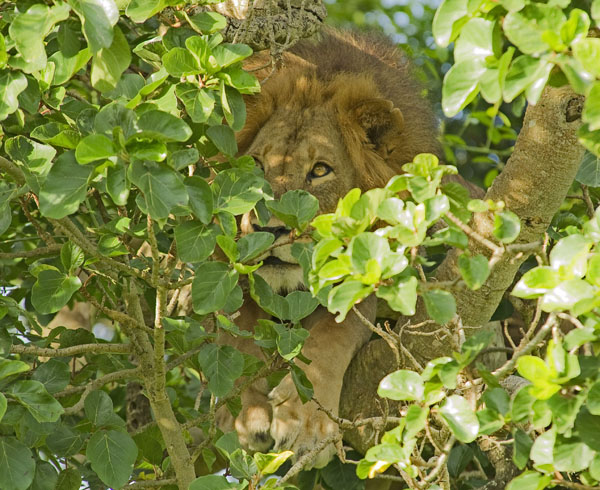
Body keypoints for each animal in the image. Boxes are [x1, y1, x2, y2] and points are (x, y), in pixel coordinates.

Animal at [218, 29, 442, 468]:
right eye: (258, 166)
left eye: (320, 170)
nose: (268, 229)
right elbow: (238, 334)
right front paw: (247, 414)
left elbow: (335, 333)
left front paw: (305, 422)